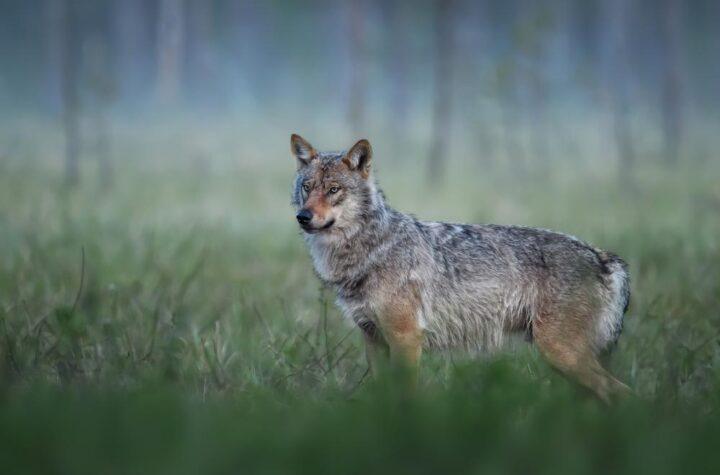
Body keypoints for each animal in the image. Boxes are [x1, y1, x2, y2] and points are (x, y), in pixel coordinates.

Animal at [289, 134, 631, 402]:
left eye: (334, 189)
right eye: (308, 187)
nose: (303, 217)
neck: (371, 249)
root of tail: (604, 257)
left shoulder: (406, 338)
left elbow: (405, 396)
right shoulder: (373, 339)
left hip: (561, 353)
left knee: (622, 391)